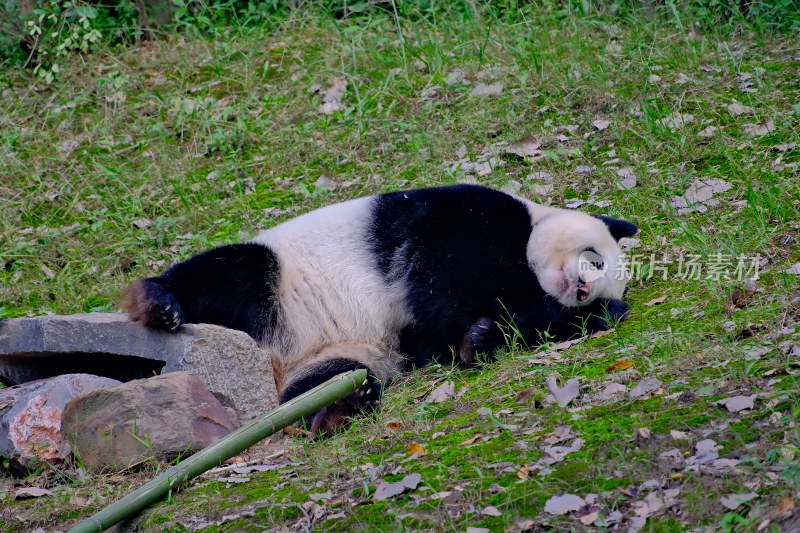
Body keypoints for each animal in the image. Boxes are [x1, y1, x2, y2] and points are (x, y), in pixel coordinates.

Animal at [123, 183, 636, 432]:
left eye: (601, 284)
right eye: (595, 257)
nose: (583, 290)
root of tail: (271, 362)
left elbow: (449, 335)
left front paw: (487, 335)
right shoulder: (465, 219)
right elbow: (444, 284)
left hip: (335, 355)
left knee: (323, 382)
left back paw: (338, 407)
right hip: (279, 284)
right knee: (237, 274)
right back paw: (161, 303)